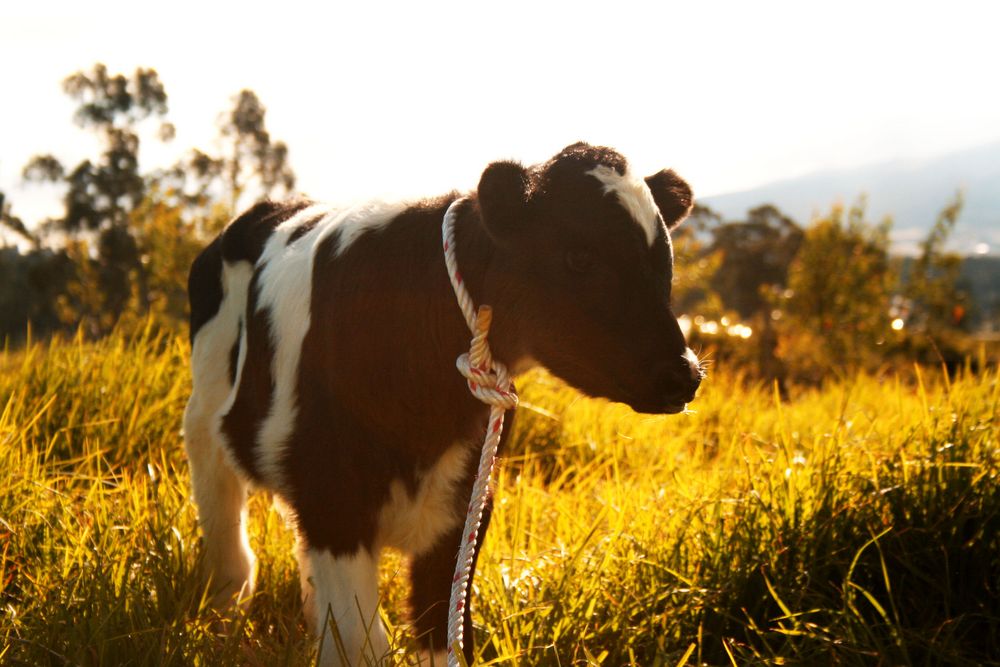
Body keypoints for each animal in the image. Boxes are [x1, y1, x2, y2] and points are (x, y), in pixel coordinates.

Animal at [186, 142, 704, 667]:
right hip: (206, 415)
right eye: (579, 257)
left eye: (664, 262)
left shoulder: (466, 501)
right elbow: (362, 643)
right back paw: (223, 612)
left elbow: (443, 632)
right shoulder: (334, 493)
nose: (683, 374)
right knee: (226, 524)